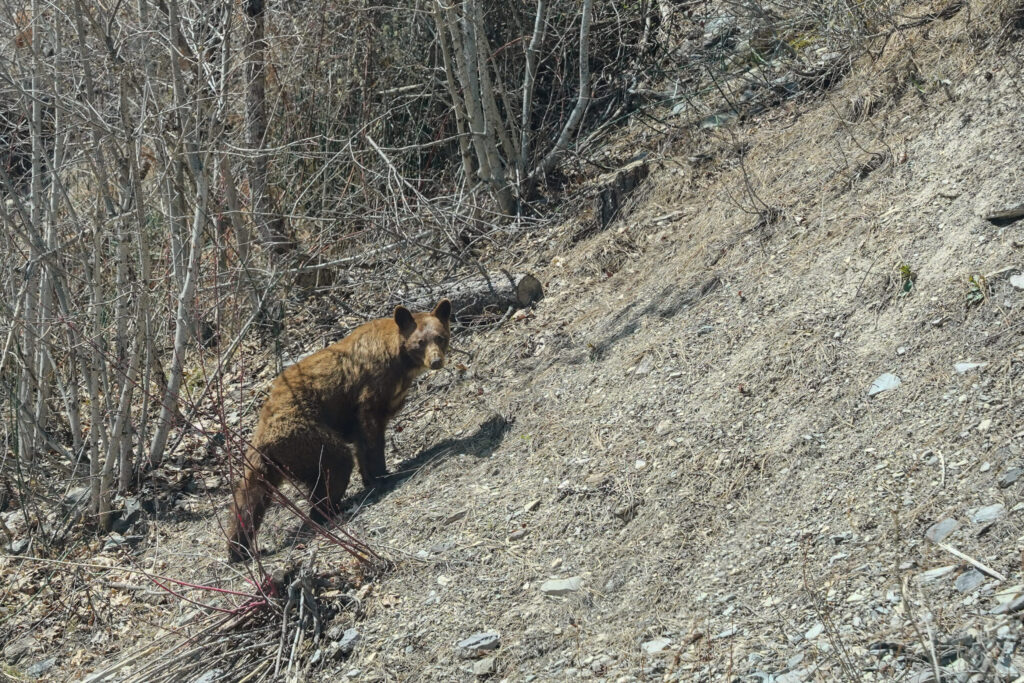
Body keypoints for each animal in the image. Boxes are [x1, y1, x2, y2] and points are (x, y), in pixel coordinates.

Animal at [227, 299, 452, 562]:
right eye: (420, 342)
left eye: (440, 337)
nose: (436, 361)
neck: (399, 360)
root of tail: (261, 436)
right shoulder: (371, 389)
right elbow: (371, 433)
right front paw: (382, 475)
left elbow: (363, 440)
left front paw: (370, 478)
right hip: (303, 436)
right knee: (335, 463)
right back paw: (328, 510)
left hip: (269, 463)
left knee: (248, 498)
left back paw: (238, 548)